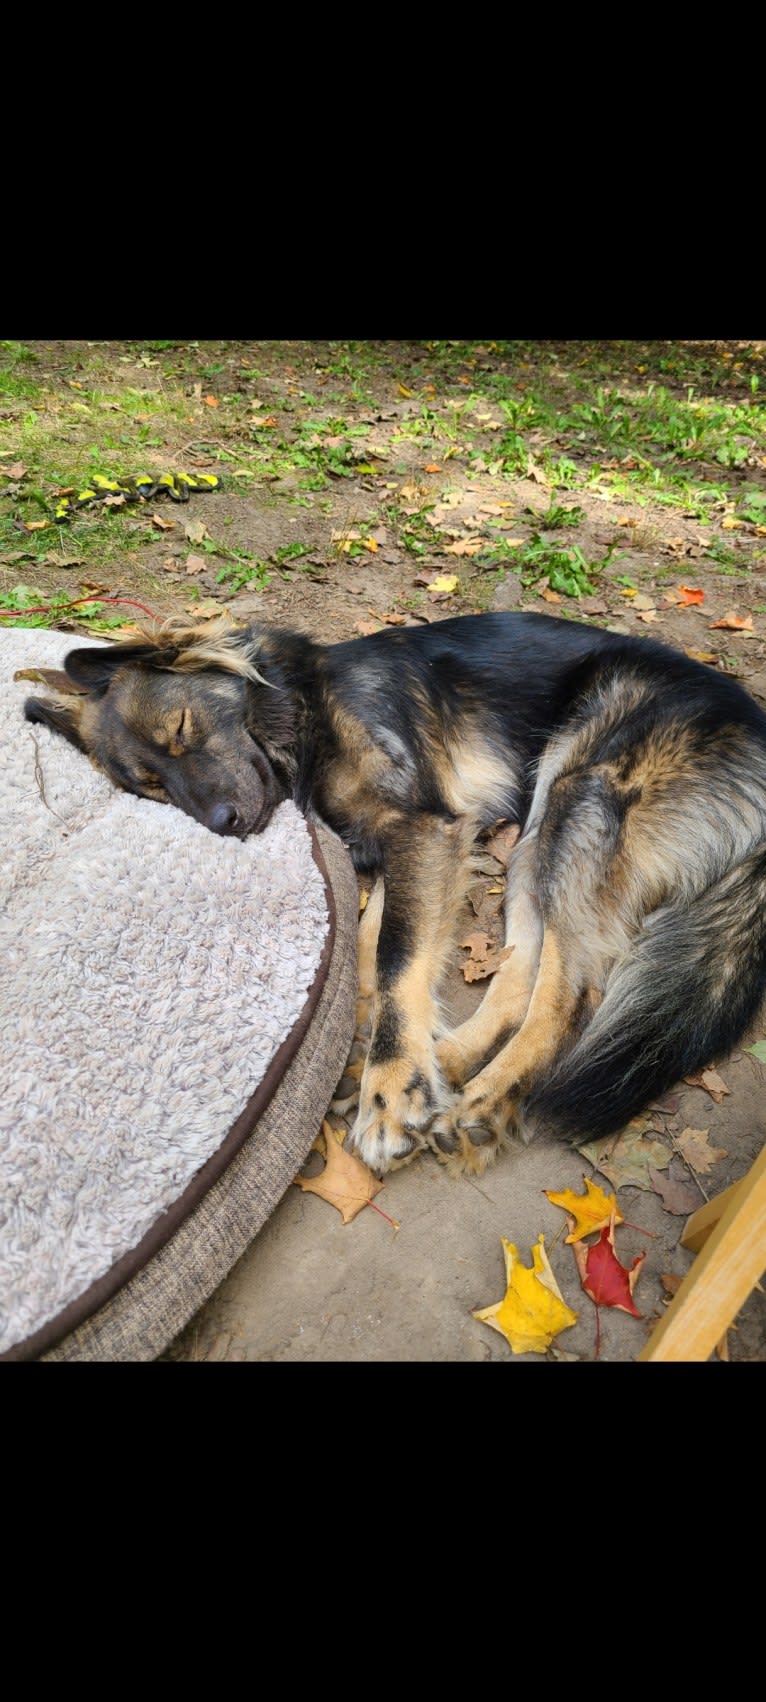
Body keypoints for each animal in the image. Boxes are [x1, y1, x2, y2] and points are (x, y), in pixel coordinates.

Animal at [23, 616, 766, 1184]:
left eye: (183, 730)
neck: (305, 706)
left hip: (577, 792)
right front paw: (384, 1055)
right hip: (531, 842)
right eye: (150, 786)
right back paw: (447, 1068)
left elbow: (394, 955)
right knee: (523, 974)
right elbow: (372, 948)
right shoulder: (399, 847)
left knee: (574, 990)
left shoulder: (422, 828)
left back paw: (480, 1103)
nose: (225, 823)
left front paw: (390, 1093)